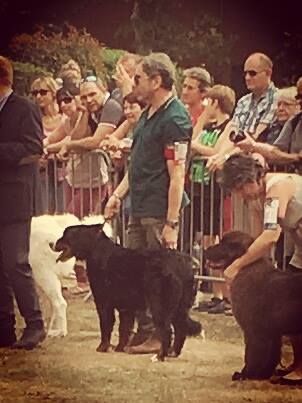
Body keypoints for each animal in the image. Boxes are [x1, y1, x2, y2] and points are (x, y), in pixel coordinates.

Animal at [52, 223, 202, 362]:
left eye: (65, 235)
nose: (52, 244)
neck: (96, 250)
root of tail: (182, 263)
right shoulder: (126, 308)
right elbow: (124, 329)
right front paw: (119, 348)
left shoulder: (103, 302)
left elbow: (105, 326)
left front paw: (102, 347)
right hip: (180, 307)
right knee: (180, 328)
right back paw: (173, 352)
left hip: (159, 305)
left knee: (167, 330)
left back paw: (159, 356)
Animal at [206, 232, 302, 384]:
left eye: (223, 244)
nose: (206, 249)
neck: (245, 268)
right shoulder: (272, 333)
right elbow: (270, 357)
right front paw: (262, 374)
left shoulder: (253, 330)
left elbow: (251, 354)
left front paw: (245, 374)